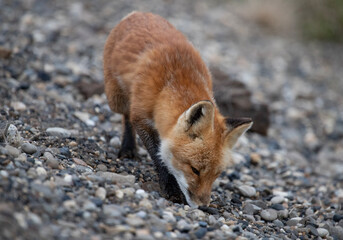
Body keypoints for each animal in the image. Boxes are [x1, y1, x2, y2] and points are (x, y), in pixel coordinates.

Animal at [103, 11, 253, 206]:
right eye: (195, 169)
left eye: (216, 174)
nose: (203, 206)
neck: (168, 87)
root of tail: (139, 13)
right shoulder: (141, 117)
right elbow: (159, 156)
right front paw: (171, 187)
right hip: (115, 98)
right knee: (125, 115)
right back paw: (128, 146)